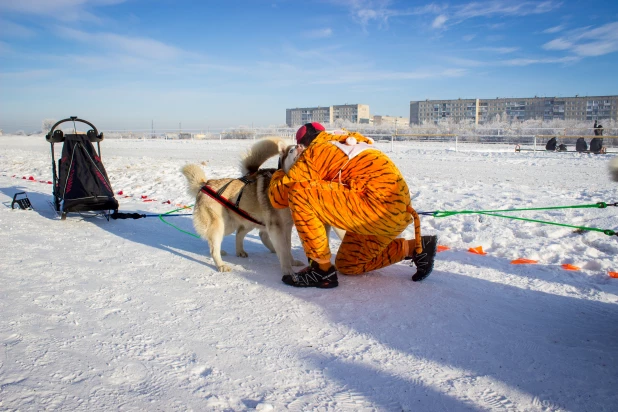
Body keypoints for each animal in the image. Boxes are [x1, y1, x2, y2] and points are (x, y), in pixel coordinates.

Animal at [179, 137, 302, 276]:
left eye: (302, 146)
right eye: (291, 150)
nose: (299, 146)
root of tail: (205, 184)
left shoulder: (286, 227)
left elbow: (288, 247)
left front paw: (292, 262)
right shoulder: (276, 227)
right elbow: (284, 249)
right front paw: (288, 270)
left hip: (242, 222)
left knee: (238, 233)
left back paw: (239, 251)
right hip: (220, 225)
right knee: (214, 246)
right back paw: (221, 264)